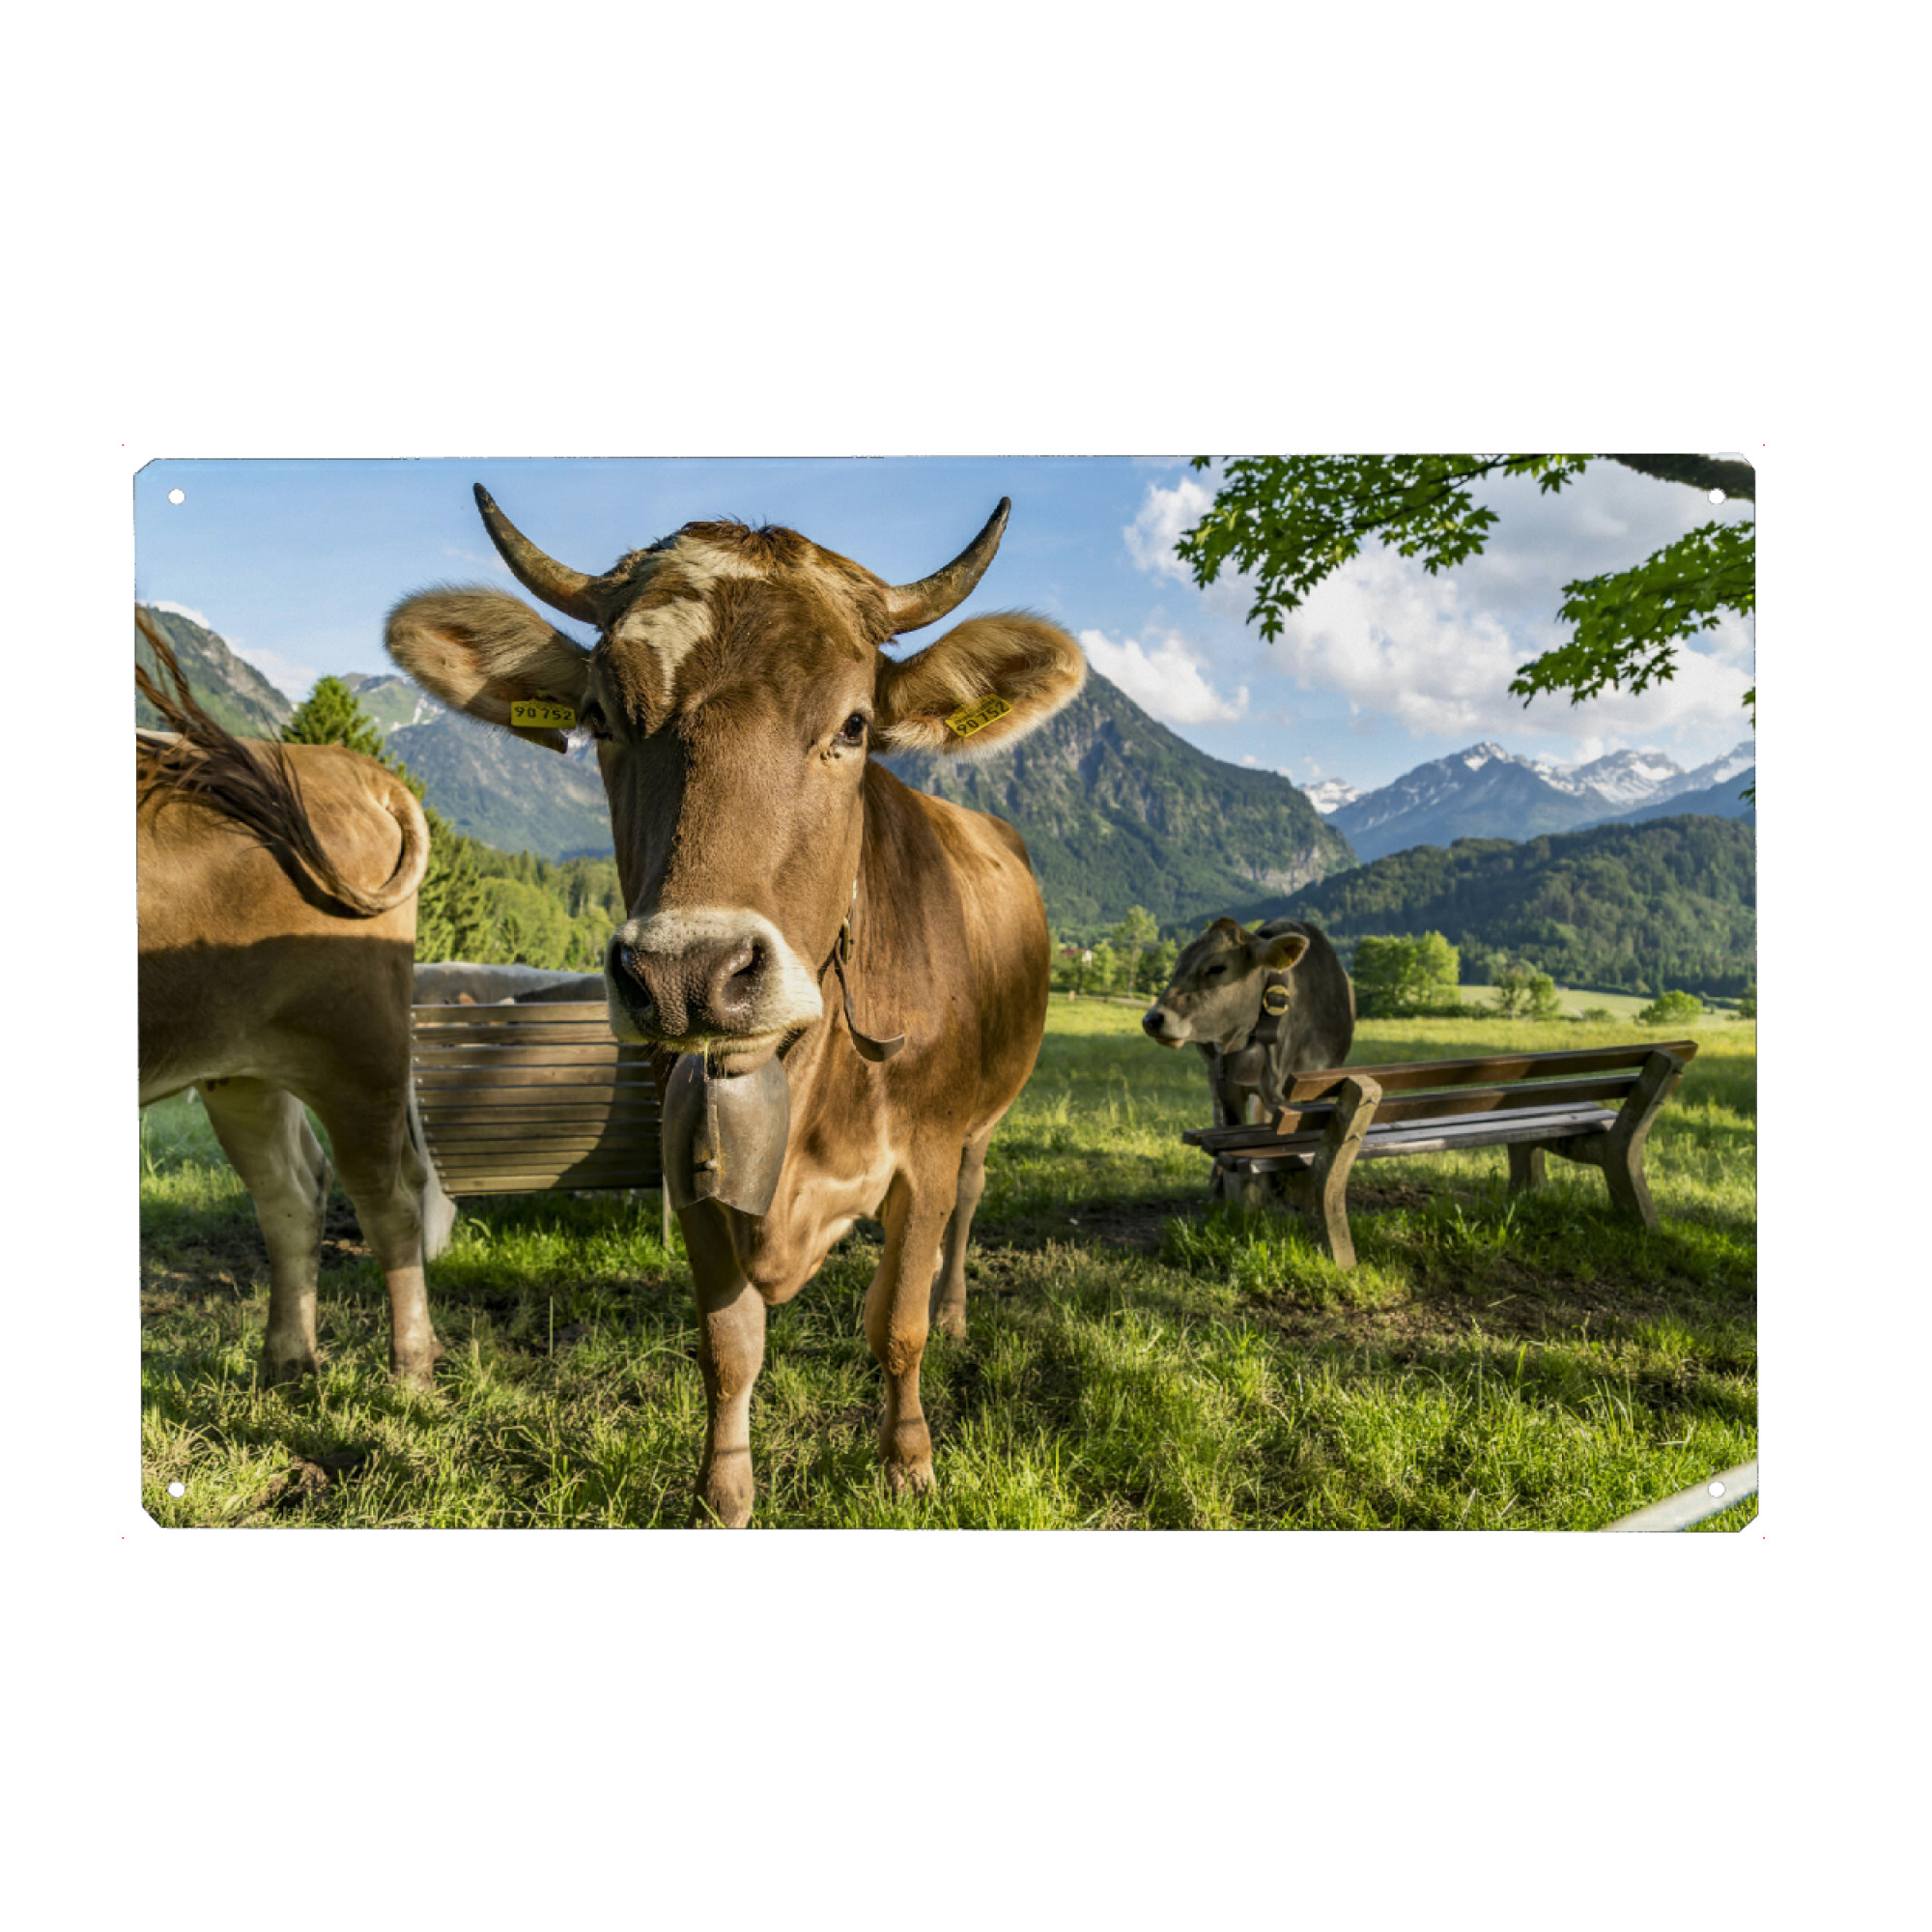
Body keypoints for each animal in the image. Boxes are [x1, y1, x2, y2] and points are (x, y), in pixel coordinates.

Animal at [137, 618, 452, 1386]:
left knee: (389, 1204)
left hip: (358, 1049)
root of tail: (340, 762)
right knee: (292, 1194)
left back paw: (411, 1373)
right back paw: (287, 1362)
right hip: (242, 1064)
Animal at [386, 487, 1085, 1525]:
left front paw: (908, 1461)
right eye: (601, 717)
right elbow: (728, 1347)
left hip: (983, 1117)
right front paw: (723, 1493)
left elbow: (899, 1324)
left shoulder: (921, 1154)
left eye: (854, 725)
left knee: (965, 1209)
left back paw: (958, 1310)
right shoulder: (691, 1165)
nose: (689, 972)